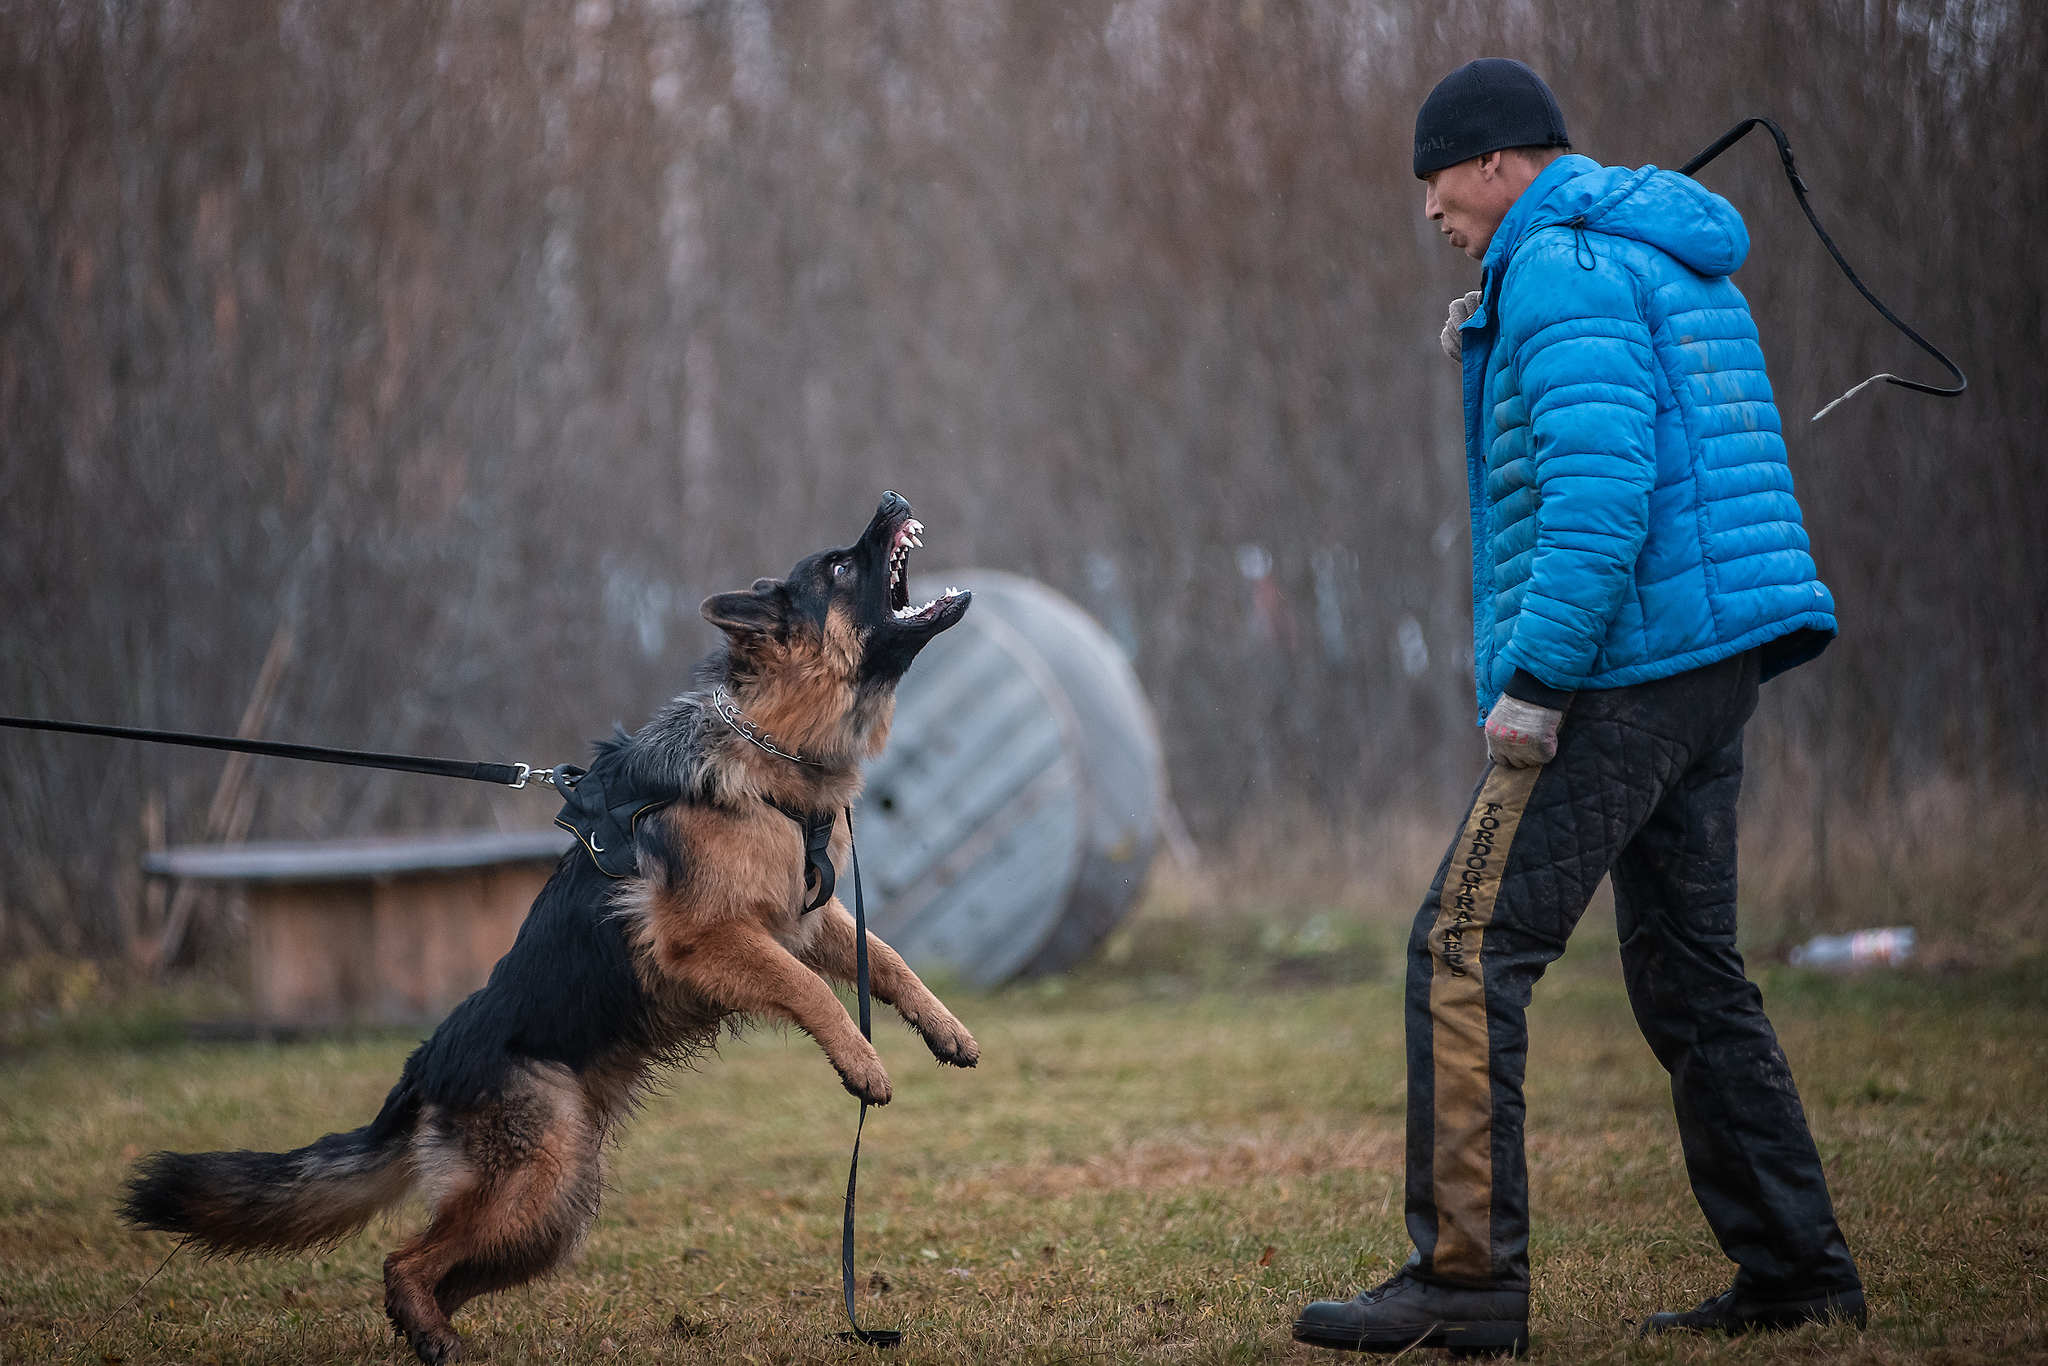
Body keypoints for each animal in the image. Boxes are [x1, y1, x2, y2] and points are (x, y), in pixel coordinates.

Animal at [121, 493, 983, 1366]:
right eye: (839, 566)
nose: (892, 500)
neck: (767, 744)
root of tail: (423, 1068)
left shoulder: (809, 918)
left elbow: (888, 960)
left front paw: (945, 1029)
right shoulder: (712, 939)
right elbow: (811, 990)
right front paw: (862, 1063)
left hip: (552, 1210)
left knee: (441, 1271)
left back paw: (434, 1332)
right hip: (536, 1185)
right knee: (405, 1259)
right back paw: (434, 1339)